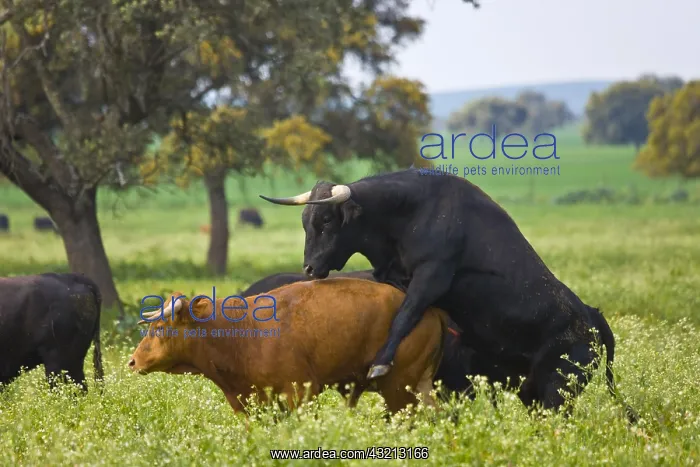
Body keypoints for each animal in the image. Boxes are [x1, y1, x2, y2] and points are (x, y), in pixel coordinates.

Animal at [128, 278, 448, 416]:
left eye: (159, 328)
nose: (132, 361)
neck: (240, 334)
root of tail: (431, 310)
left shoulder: (301, 392)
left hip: (398, 388)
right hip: (418, 386)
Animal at [260, 169, 639, 422]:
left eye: (326, 220)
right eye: (305, 221)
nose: (310, 269)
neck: (412, 211)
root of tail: (590, 314)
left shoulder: (431, 277)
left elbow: (404, 316)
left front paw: (380, 363)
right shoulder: (395, 275)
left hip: (557, 389)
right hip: (531, 390)